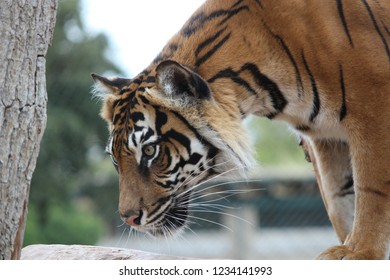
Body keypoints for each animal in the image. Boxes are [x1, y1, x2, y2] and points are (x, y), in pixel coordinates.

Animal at [92, 0, 390, 260]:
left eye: (150, 151)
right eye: (114, 159)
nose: (129, 219)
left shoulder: (374, 110)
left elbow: (371, 192)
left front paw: (360, 252)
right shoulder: (326, 137)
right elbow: (340, 198)